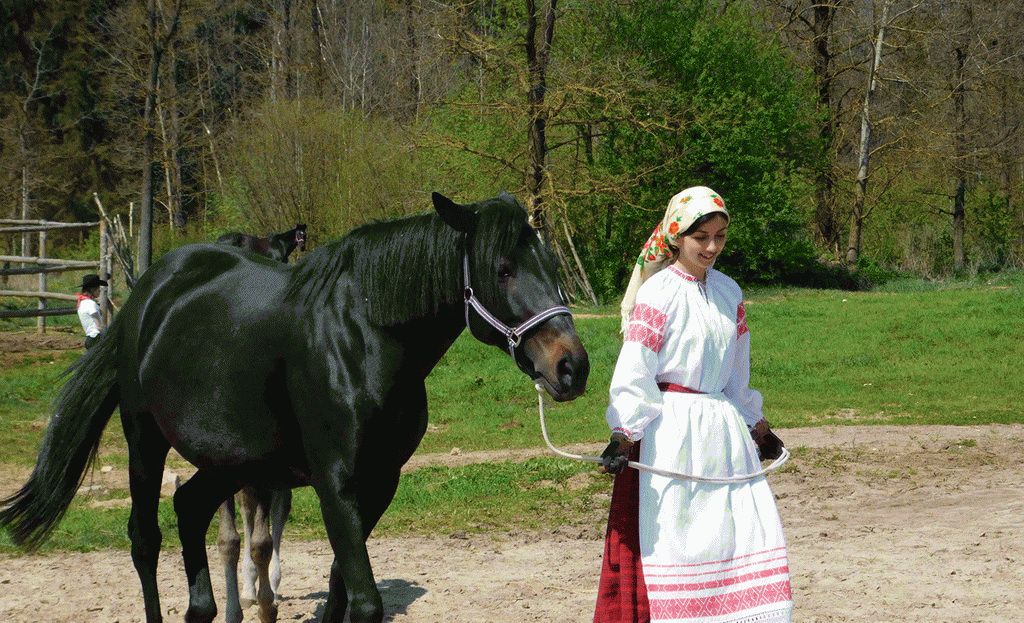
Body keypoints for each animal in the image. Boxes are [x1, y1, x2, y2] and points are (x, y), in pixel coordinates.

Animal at [0, 192, 589, 618]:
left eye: (551, 264)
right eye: (504, 268)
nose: (572, 367)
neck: (364, 339)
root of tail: (148, 294)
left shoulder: (379, 483)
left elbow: (341, 593)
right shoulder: (336, 483)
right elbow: (364, 601)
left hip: (232, 461)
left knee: (190, 511)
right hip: (144, 440)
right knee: (145, 541)